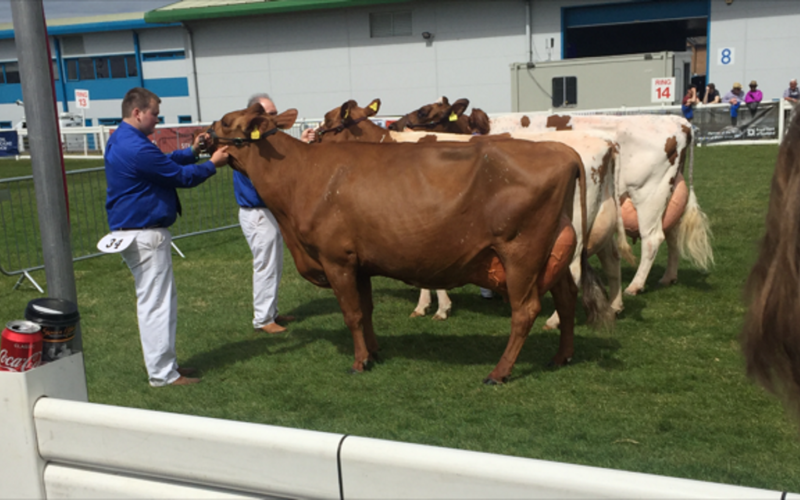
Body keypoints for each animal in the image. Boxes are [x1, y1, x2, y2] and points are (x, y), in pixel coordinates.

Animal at [317, 99, 632, 329]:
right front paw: (426, 305)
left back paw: (554, 320)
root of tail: (605, 143)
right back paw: (616, 305)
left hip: (574, 226)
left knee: (575, 270)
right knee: (612, 258)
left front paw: (439, 308)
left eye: (326, 123)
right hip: (602, 219)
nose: (312, 138)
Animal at [393, 98, 713, 295]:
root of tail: (679, 123)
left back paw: (635, 286)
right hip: (669, 191)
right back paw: (668, 277)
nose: (394, 125)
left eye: (425, 112)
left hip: (649, 192)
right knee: (672, 232)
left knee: (653, 238)